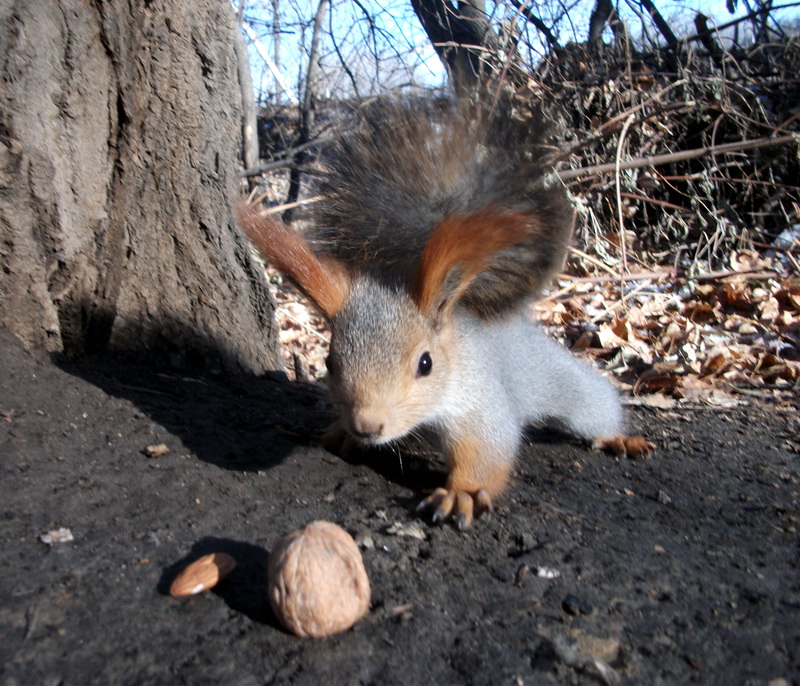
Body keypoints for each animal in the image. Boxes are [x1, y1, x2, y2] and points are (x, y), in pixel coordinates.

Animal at [241, 94, 652, 528]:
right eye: (330, 363)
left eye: (426, 364)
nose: (366, 425)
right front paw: (341, 432)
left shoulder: (480, 402)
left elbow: (488, 448)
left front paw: (462, 495)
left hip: (558, 379)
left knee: (593, 405)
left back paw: (618, 436)